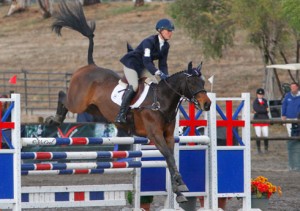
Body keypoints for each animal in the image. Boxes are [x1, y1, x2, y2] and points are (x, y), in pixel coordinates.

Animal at [47, 0, 211, 204]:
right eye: (192, 82)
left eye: (203, 82)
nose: (207, 104)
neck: (162, 101)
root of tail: (90, 65)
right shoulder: (155, 135)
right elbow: (169, 157)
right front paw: (181, 186)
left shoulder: (167, 136)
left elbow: (170, 159)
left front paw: (179, 191)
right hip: (78, 103)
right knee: (62, 95)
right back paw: (54, 119)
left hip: (95, 110)